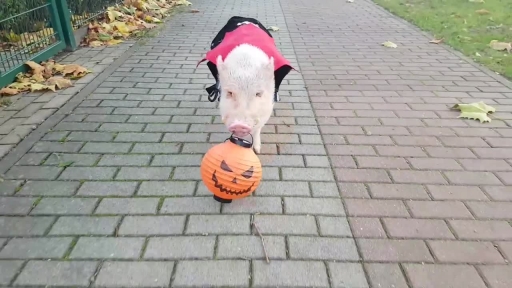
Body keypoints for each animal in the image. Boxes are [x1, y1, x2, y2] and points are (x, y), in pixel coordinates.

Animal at [197, 16, 294, 153]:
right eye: (230, 92)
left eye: (258, 93)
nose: (239, 125)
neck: (246, 65)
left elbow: (258, 127)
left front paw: (257, 150)